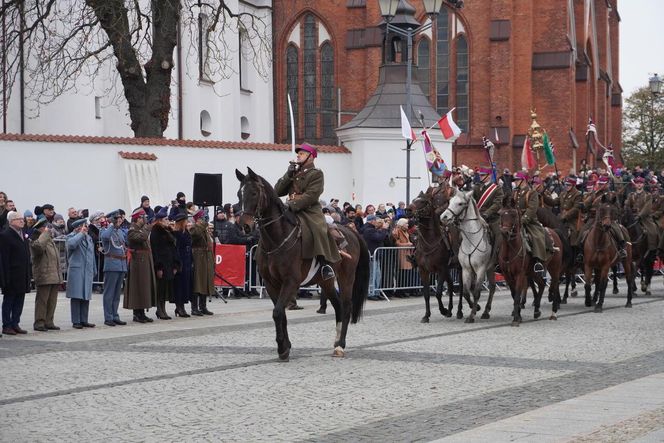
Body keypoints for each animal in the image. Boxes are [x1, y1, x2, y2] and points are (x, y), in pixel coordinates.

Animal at [233, 168, 370, 360]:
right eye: (239, 194)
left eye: (253, 193)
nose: (244, 226)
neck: (276, 240)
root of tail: (352, 232)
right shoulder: (270, 283)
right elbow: (281, 313)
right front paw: (285, 346)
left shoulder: (291, 281)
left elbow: (277, 312)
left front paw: (282, 347)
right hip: (326, 281)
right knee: (338, 306)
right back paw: (336, 342)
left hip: (346, 277)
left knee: (346, 306)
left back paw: (340, 346)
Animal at [438, 189, 496, 324]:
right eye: (450, 201)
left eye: (460, 203)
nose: (444, 217)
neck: (471, 240)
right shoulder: (466, 269)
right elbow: (465, 292)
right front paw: (475, 308)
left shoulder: (480, 269)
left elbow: (476, 292)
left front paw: (471, 315)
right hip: (490, 268)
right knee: (492, 287)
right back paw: (486, 312)